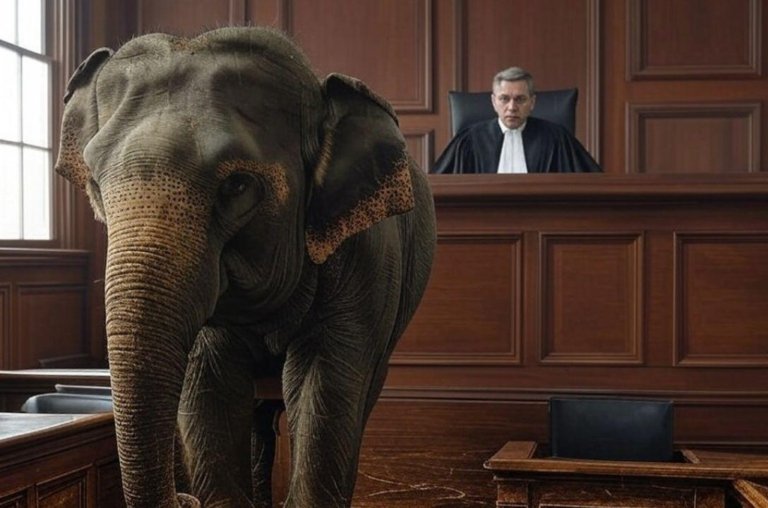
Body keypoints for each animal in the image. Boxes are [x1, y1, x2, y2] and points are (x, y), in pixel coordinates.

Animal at [55, 27, 435, 508]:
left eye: (237, 185)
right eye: (94, 183)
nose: (184, 499)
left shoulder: (364, 258)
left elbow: (323, 388)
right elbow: (208, 391)